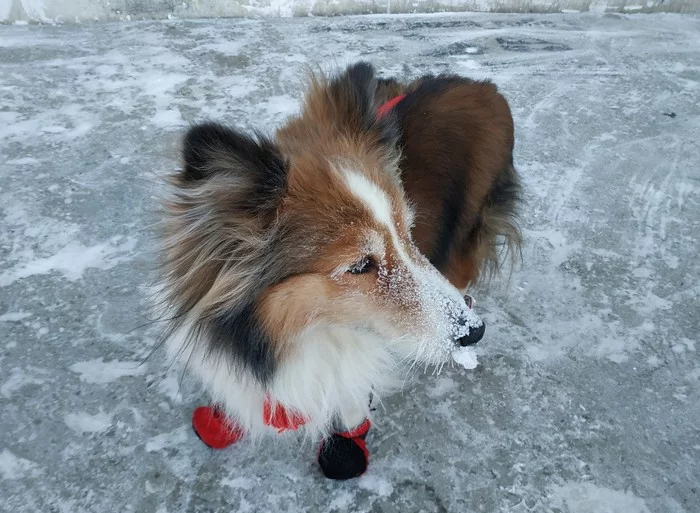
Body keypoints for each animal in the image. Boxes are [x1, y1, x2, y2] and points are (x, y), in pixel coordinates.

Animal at [157, 62, 520, 478]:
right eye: (360, 264)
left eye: (408, 233)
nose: (473, 332)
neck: (290, 339)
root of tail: (485, 86)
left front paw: (346, 441)